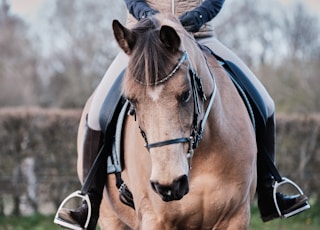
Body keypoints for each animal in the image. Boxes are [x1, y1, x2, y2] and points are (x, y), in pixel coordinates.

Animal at [78, 14, 258, 230]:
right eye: (132, 101)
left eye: (186, 94)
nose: (169, 185)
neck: (201, 157)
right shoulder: (155, 219)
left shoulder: (236, 217)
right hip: (110, 217)